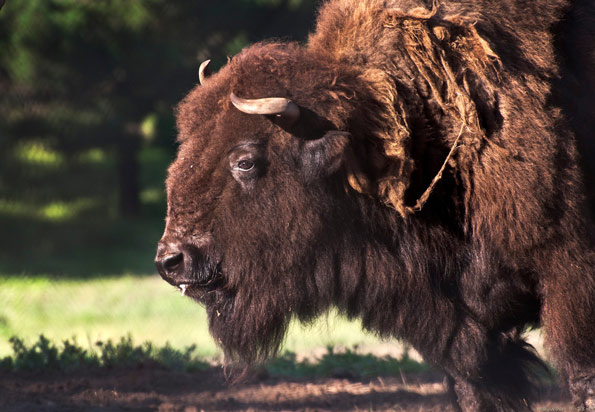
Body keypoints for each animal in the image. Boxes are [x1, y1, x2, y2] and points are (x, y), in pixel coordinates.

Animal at [155, 1, 595, 410]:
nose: (171, 260)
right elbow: (477, 388)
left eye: (245, 161)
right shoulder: (469, 331)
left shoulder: (570, 278)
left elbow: (580, 375)